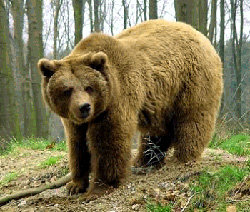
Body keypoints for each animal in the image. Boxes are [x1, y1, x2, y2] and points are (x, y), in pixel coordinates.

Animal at [37, 19, 223, 199]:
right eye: (67, 90)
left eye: (88, 87)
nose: (84, 107)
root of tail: (201, 35)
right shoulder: (73, 119)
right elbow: (77, 144)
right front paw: (75, 185)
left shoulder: (115, 99)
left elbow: (109, 140)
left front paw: (99, 187)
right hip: (161, 98)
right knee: (157, 131)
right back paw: (146, 160)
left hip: (191, 81)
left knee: (192, 119)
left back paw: (184, 156)